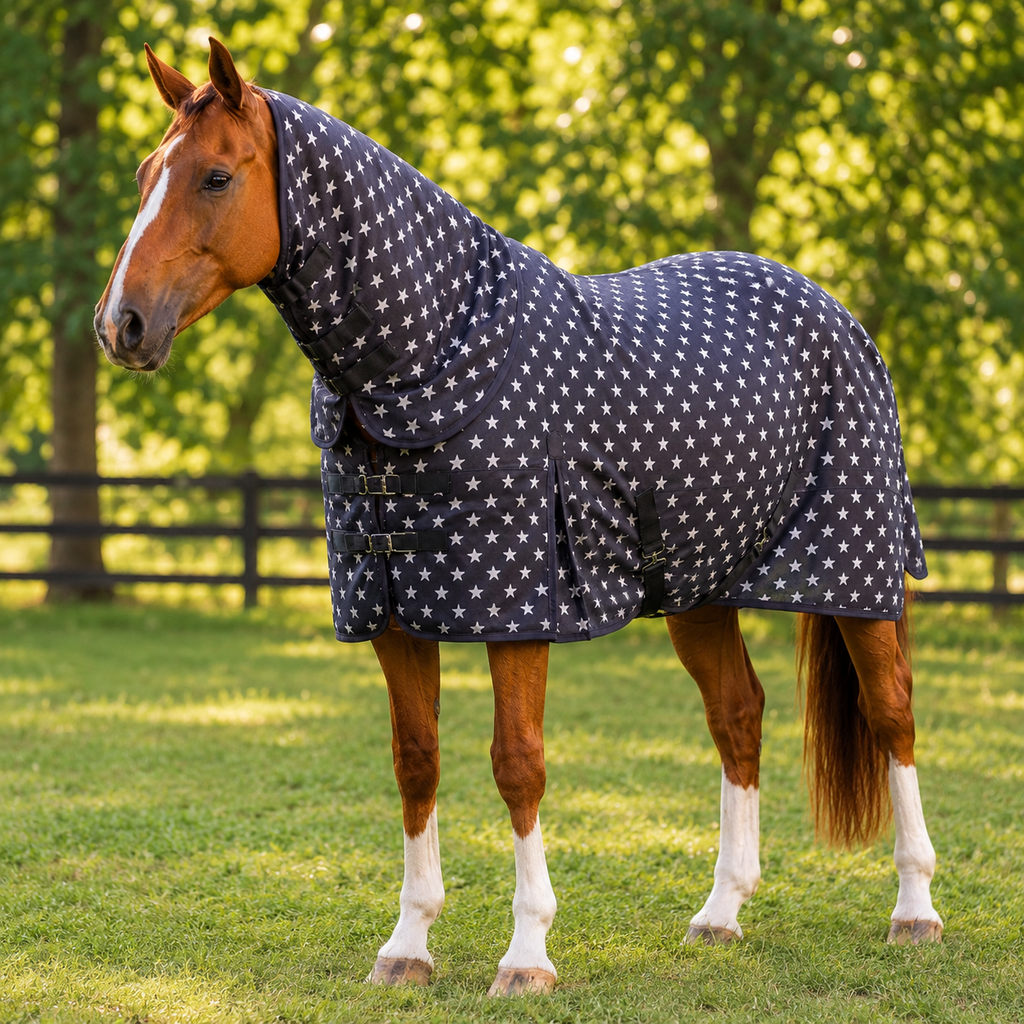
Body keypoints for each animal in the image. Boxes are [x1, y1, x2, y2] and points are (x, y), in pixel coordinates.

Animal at [94, 39, 943, 996]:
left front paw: (527, 954)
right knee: (738, 715)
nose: (121, 325)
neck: (438, 359)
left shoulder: (519, 609)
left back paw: (915, 910)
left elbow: (517, 764)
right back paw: (721, 914)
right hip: (699, 589)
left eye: (213, 176)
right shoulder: (395, 607)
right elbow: (415, 759)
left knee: (892, 715)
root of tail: (829, 310)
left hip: (859, 575)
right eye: (144, 173)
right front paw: (408, 945)